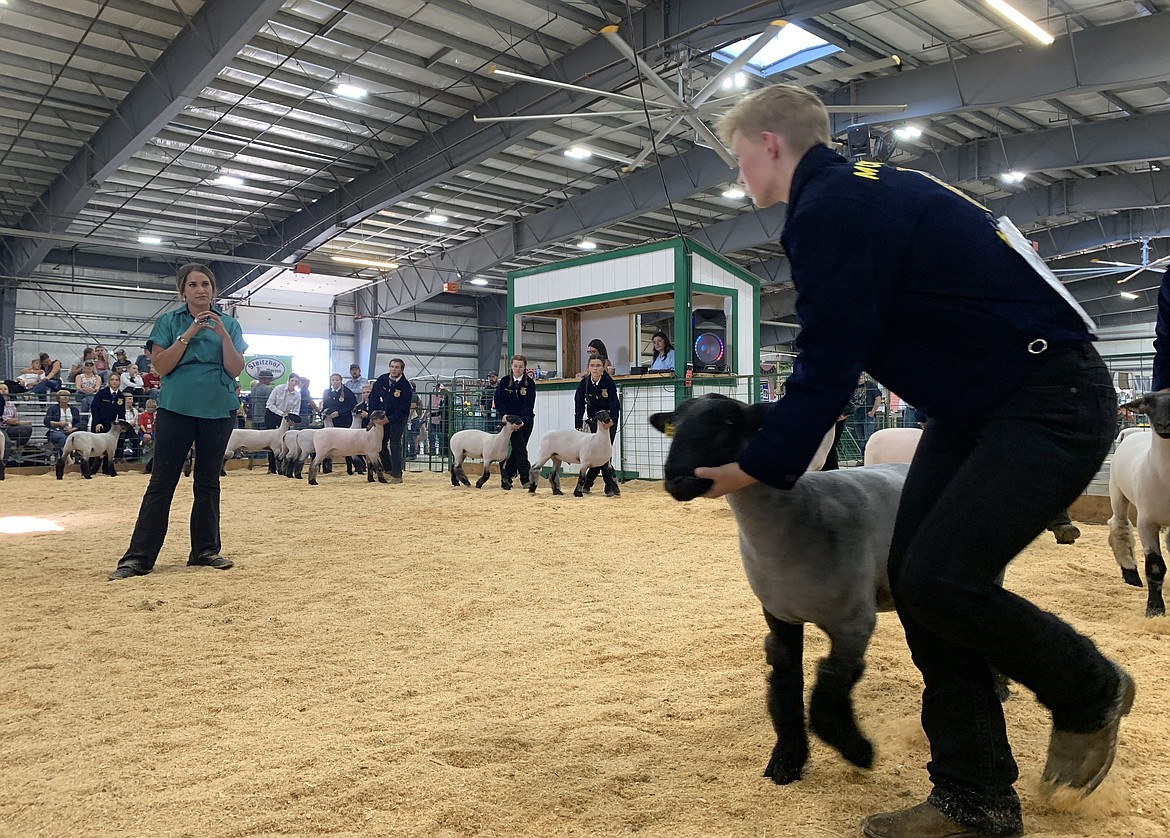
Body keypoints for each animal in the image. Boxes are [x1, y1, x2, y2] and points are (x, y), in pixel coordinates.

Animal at [650, 395, 903, 781]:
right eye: (674, 427)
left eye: (726, 424)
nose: (676, 480)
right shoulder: (779, 614)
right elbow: (788, 683)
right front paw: (787, 759)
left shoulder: (854, 621)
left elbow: (831, 684)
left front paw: (856, 750)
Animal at [1104, 390, 1170, 613]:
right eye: (1147, 402)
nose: (1164, 424)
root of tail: (1132, 433)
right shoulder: (1146, 522)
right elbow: (1155, 566)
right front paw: (1155, 609)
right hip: (1116, 490)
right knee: (1119, 525)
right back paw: (1131, 575)